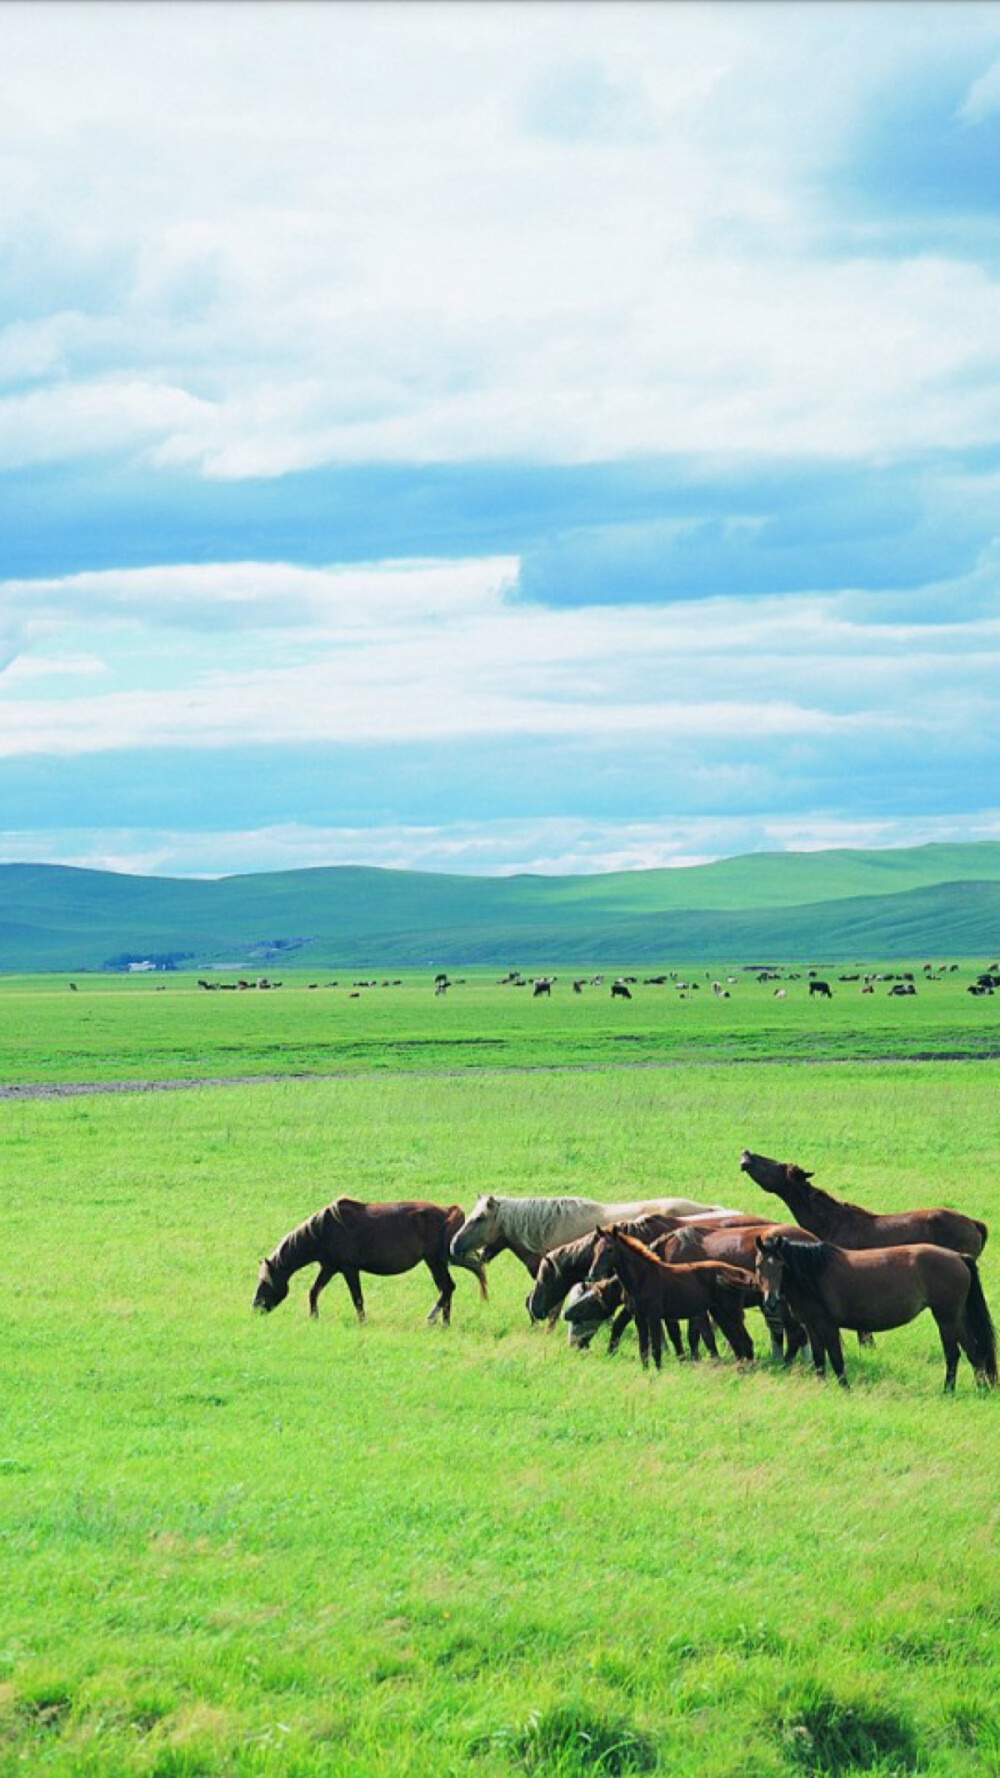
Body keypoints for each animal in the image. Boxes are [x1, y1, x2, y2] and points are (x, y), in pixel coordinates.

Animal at [252, 1201, 487, 1329]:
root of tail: (449, 1211)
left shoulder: (349, 1269)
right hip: (437, 1262)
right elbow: (314, 1292)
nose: (255, 1307)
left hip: (435, 1261)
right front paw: (314, 1317)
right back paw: (444, 1323)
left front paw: (363, 1322)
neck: (324, 1230)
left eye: (265, 1281)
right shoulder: (329, 1268)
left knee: (447, 1288)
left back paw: (432, 1320)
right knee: (446, 1289)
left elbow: (357, 1299)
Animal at [583, 1230, 754, 1365]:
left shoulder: (654, 1316)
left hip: (730, 1312)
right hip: (720, 1313)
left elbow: (656, 1348)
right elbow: (643, 1349)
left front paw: (657, 1373)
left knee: (745, 1341)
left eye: (610, 1249)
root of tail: (737, 1272)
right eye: (596, 1249)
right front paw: (646, 1372)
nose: (592, 1274)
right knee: (737, 1343)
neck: (643, 1277)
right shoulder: (639, 1317)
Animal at [750, 1230, 989, 1393]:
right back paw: (982, 1389)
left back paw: (948, 1391)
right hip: (957, 1318)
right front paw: (822, 1387)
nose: (770, 1301)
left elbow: (836, 1358)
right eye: (759, 1265)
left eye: (781, 1265)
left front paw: (845, 1390)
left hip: (946, 1319)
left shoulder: (828, 1326)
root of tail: (958, 1256)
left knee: (953, 1354)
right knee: (974, 1352)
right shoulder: (812, 1326)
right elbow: (819, 1360)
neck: (813, 1273)